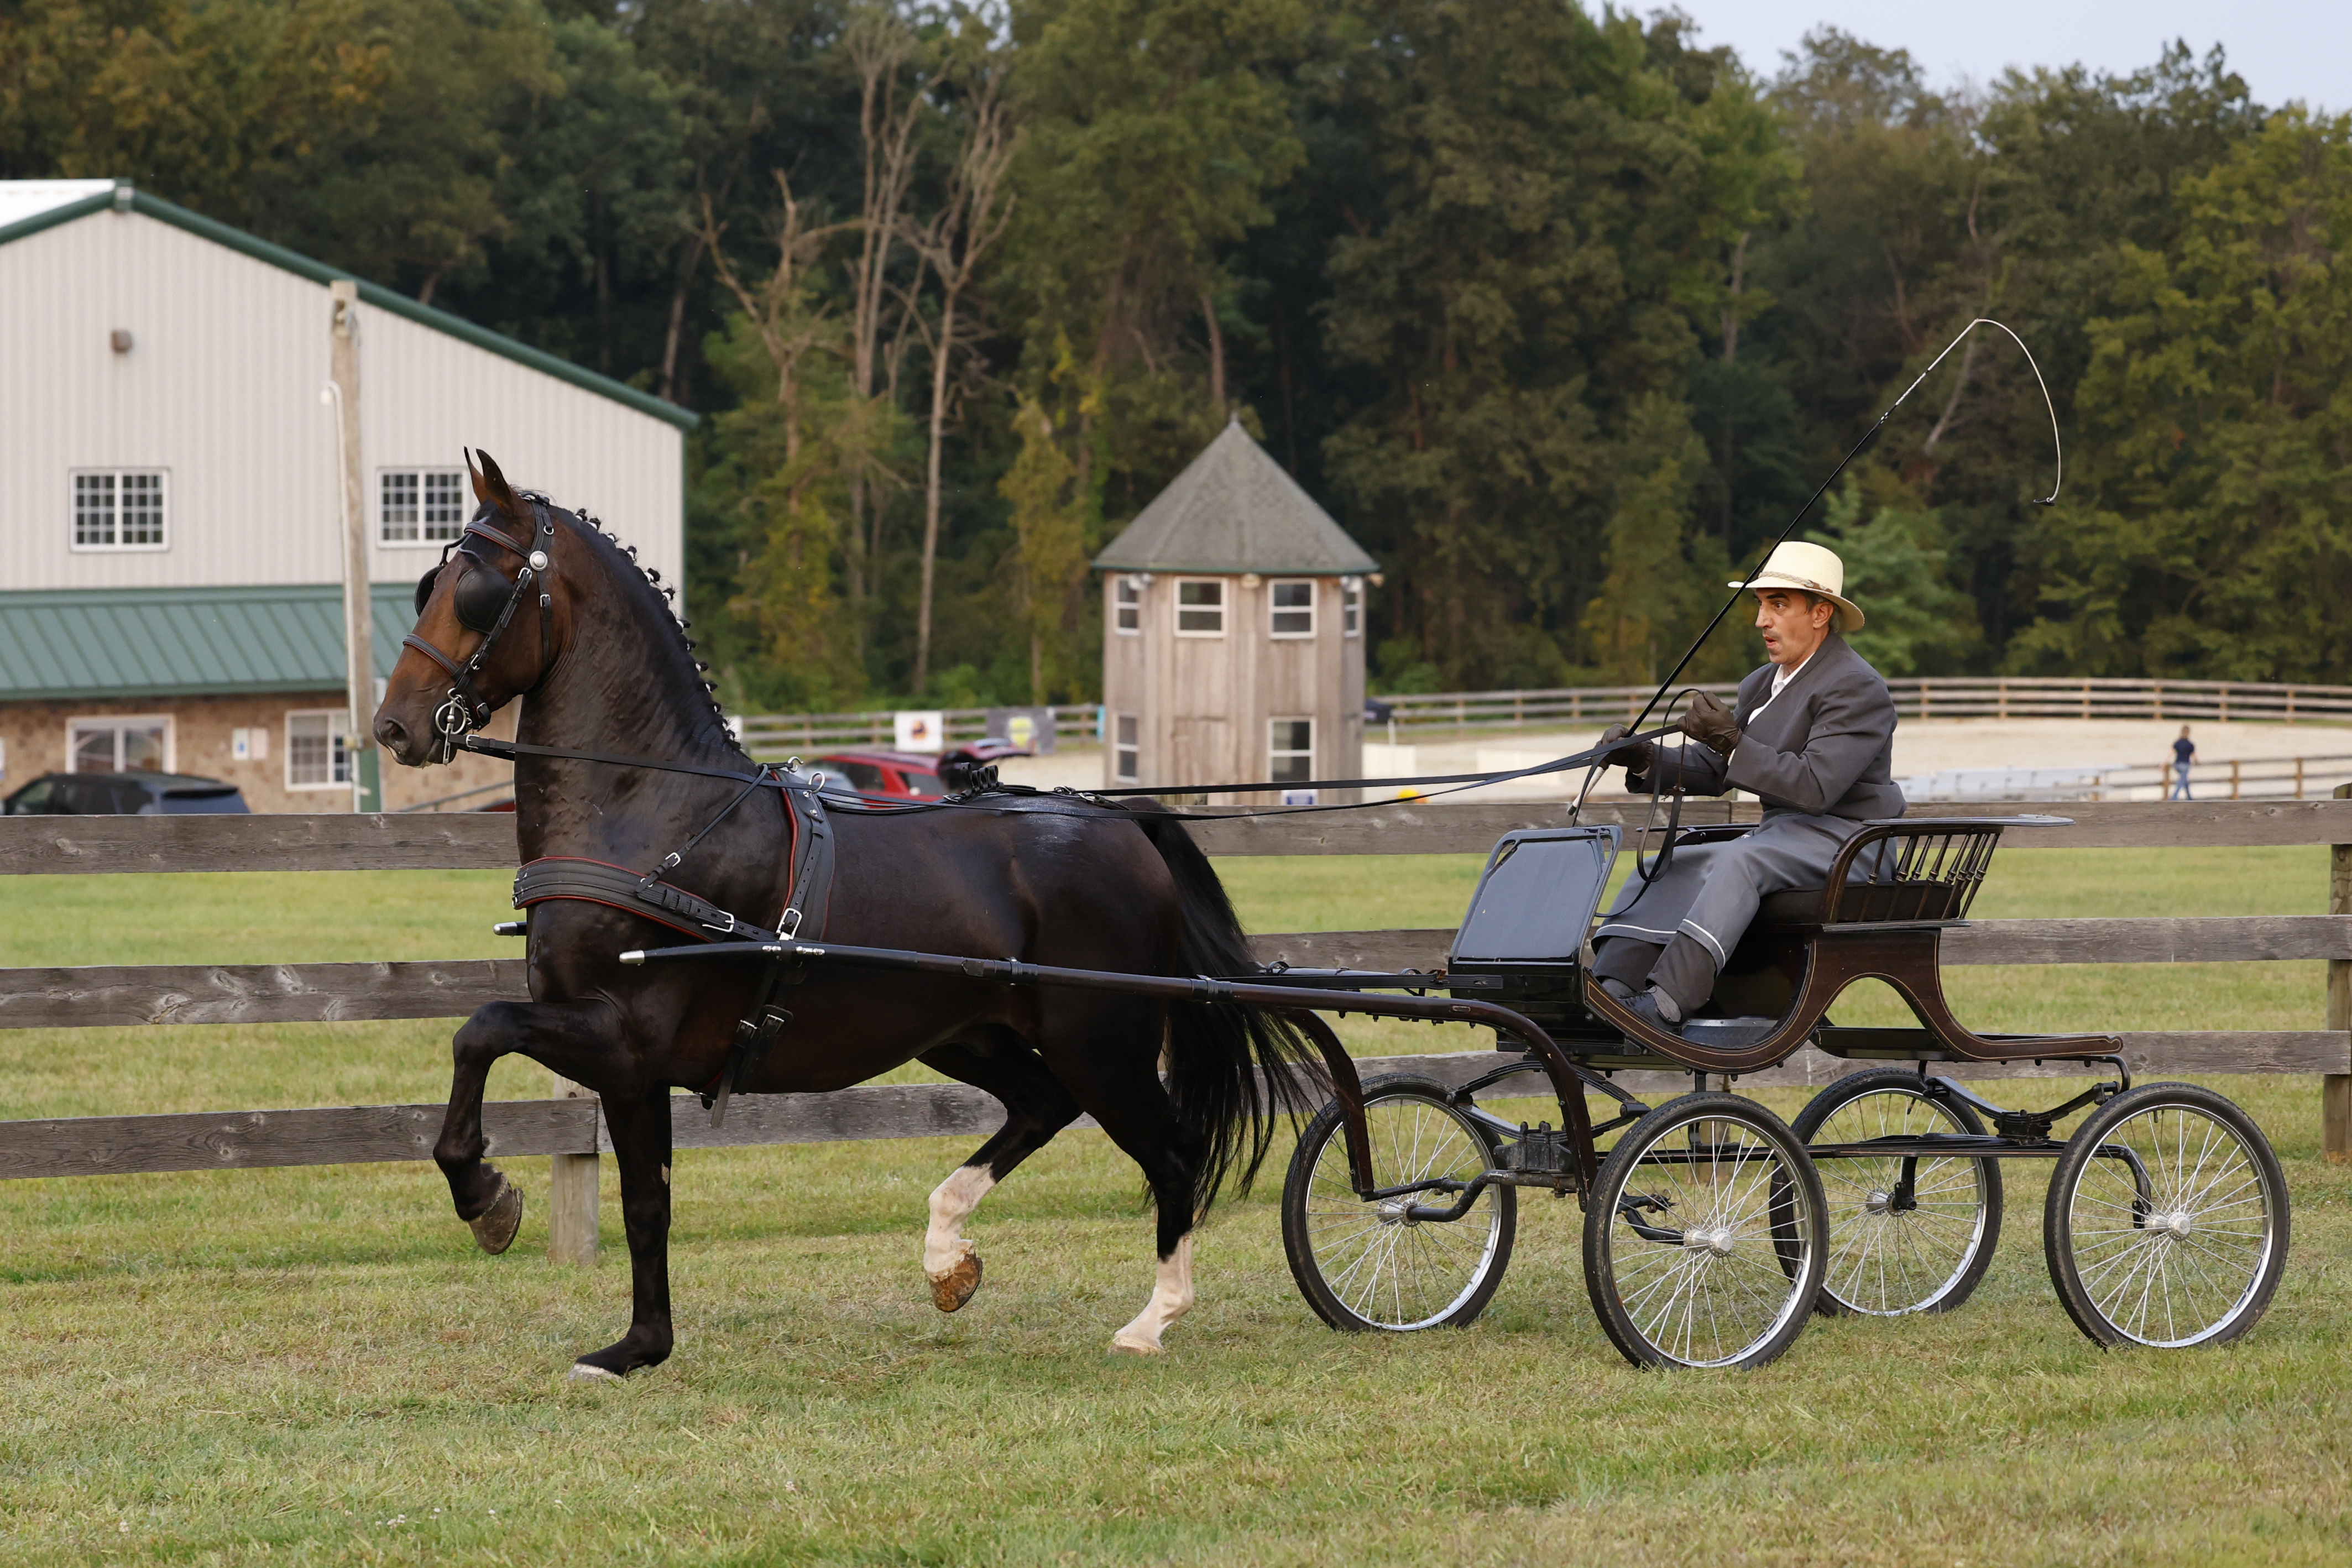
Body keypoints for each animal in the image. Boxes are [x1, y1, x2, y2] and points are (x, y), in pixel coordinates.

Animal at [370, 453, 1318, 1378]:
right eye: (428, 583)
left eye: (475, 589)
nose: (393, 727)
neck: (654, 812)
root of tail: (1120, 823)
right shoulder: (632, 1069)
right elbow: (646, 1203)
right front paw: (639, 1347)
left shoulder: (620, 1038)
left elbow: (480, 1031)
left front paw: (488, 1201)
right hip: (967, 1034)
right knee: (1042, 1106)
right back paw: (947, 1257)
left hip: (1102, 1044)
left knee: (1173, 1149)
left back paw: (1153, 1319)